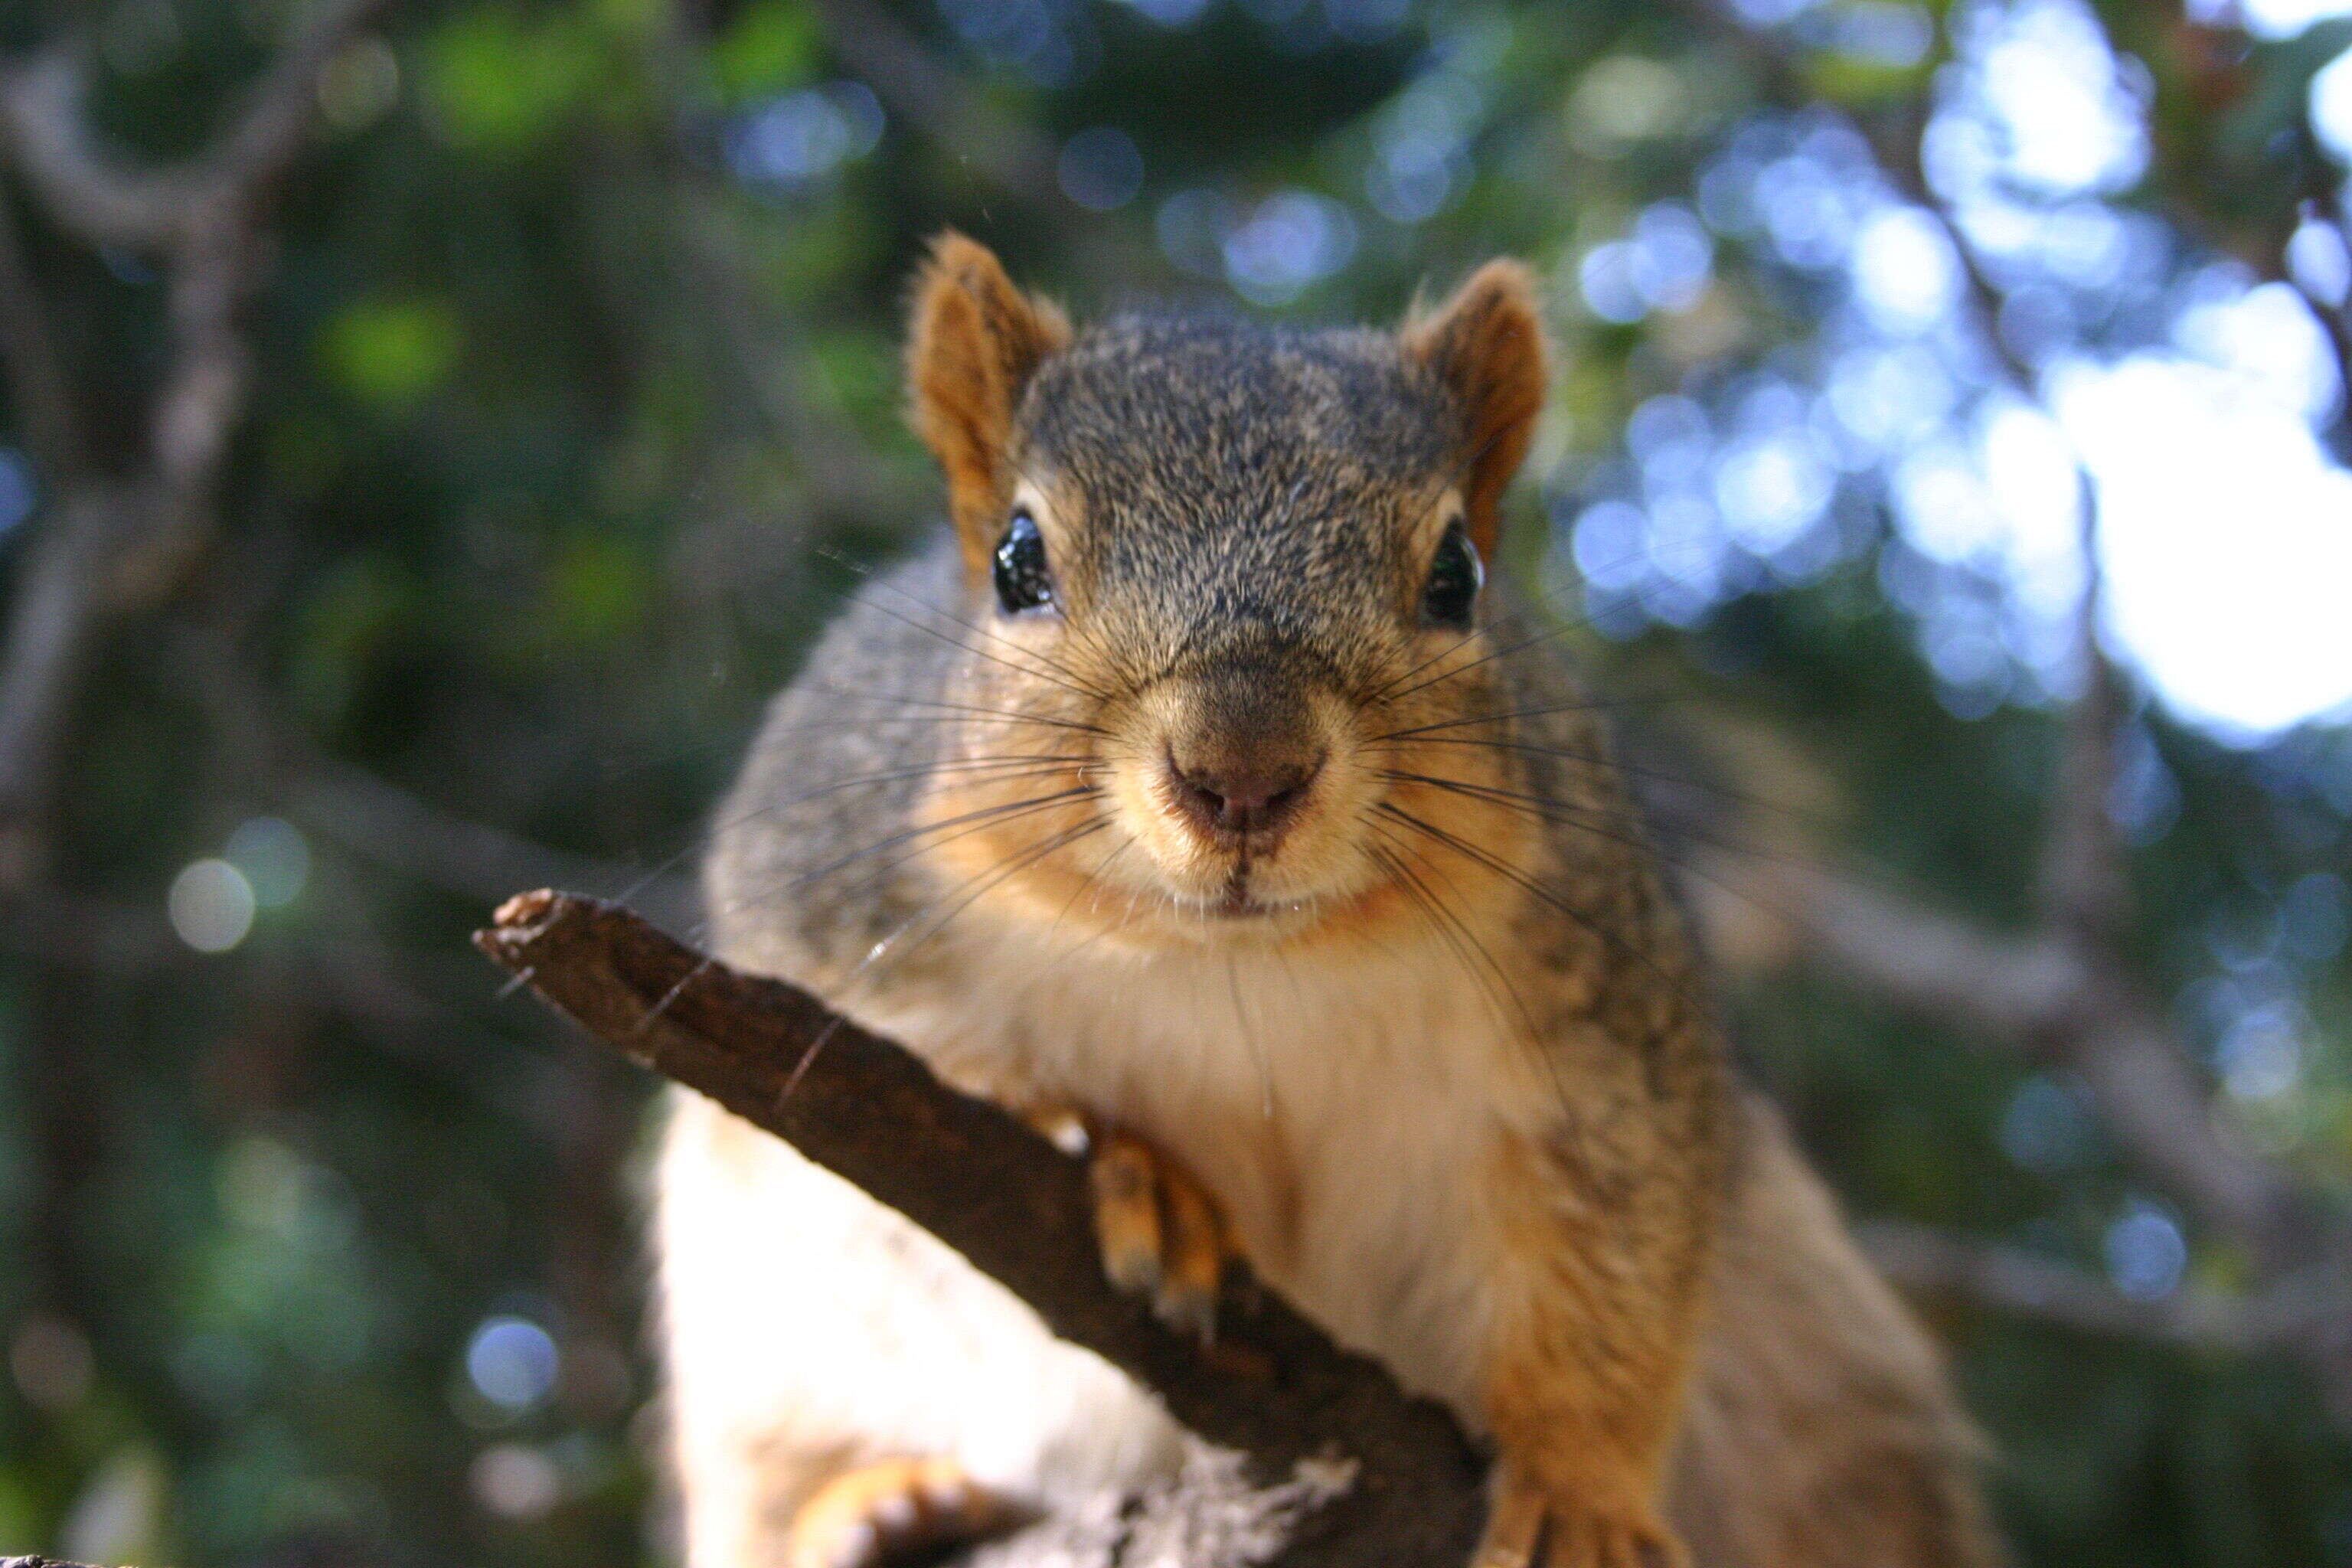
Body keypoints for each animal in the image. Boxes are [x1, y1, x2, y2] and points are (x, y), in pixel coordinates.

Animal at [658, 232, 2004, 1568]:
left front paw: (1581, 1497)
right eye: (1016, 562)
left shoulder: (1602, 1031)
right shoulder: (818, 922)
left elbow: (1609, 1270)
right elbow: (926, 1079)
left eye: (1459, 573)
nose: (1242, 770)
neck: (1233, 964)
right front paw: (1140, 1172)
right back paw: (875, 1501)